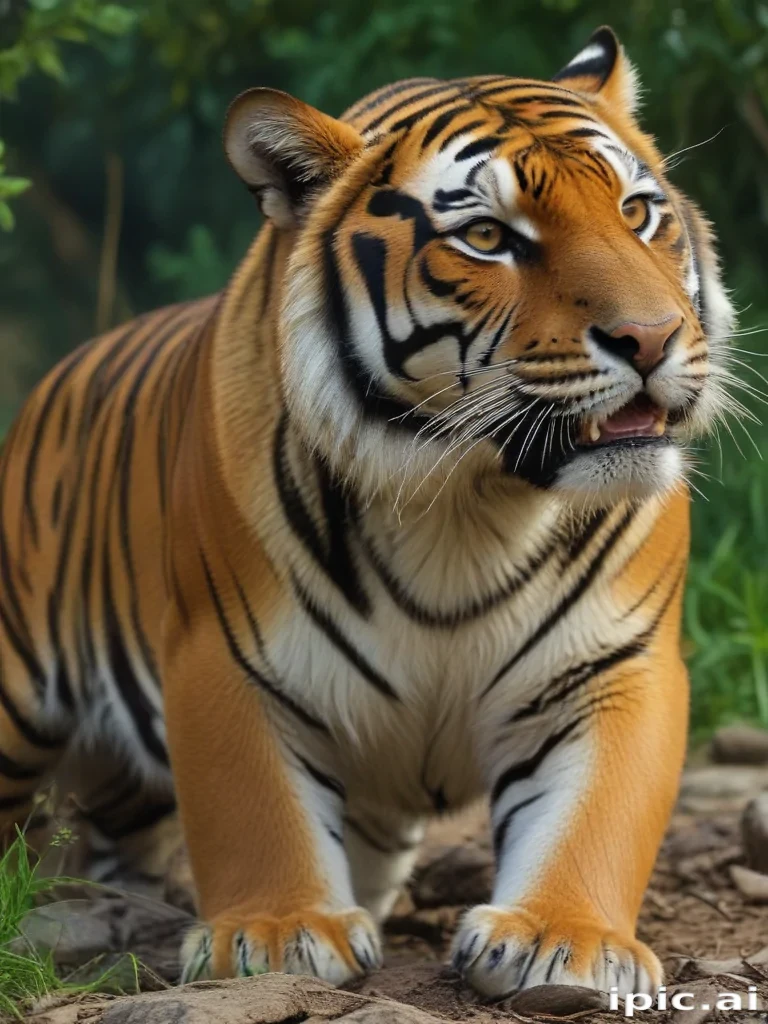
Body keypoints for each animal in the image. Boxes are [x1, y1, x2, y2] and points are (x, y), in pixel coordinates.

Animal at [0, 26, 734, 999]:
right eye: (489, 237)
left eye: (639, 213)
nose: (651, 338)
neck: (469, 500)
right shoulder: (225, 655)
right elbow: (253, 803)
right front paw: (276, 933)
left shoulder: (615, 661)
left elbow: (596, 810)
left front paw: (562, 938)